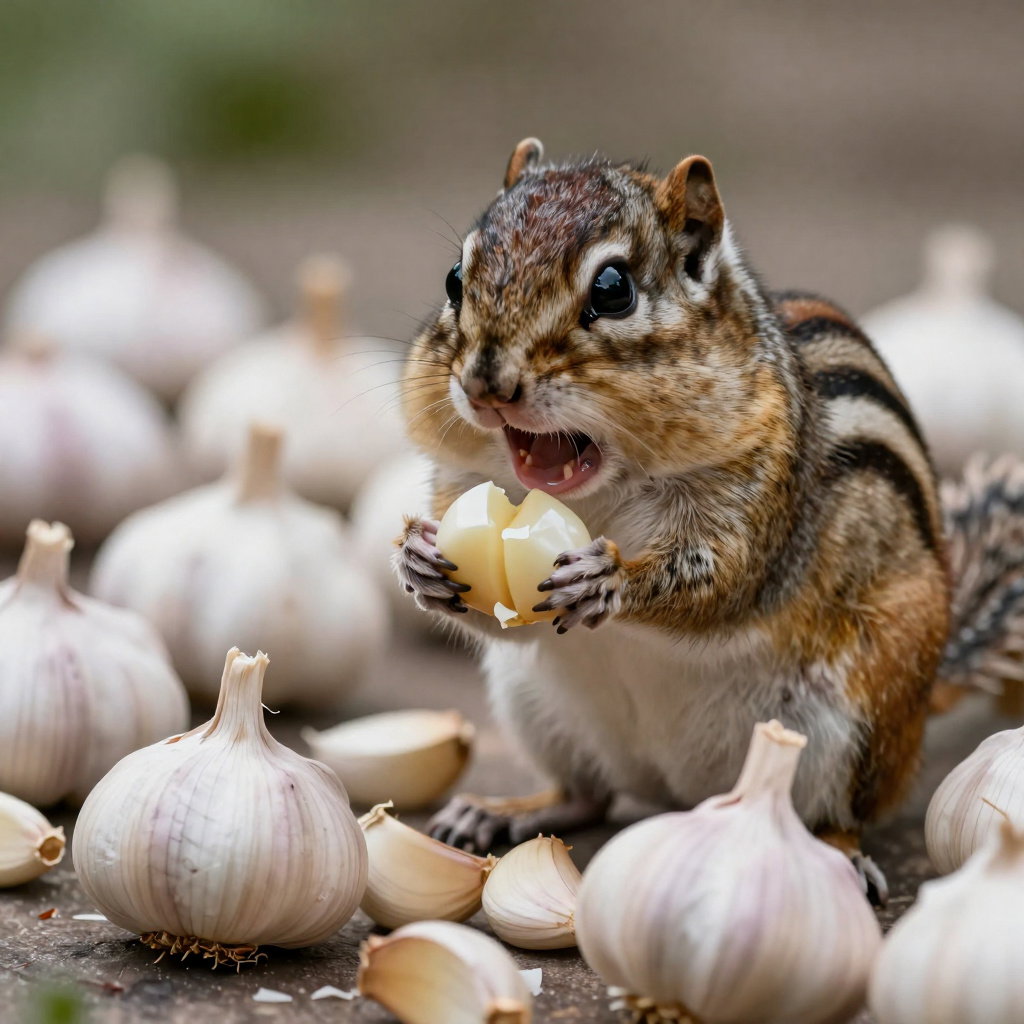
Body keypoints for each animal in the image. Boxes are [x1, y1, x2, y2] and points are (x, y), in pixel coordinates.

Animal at [393, 138, 1024, 903]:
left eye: (613, 290)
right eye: (456, 279)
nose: (486, 384)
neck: (600, 491)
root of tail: (682, 791)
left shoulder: (766, 496)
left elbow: (722, 583)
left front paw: (611, 581)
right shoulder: (461, 482)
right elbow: (493, 613)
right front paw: (419, 561)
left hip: (859, 722)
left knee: (839, 812)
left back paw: (838, 853)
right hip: (534, 706)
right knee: (588, 794)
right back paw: (501, 811)